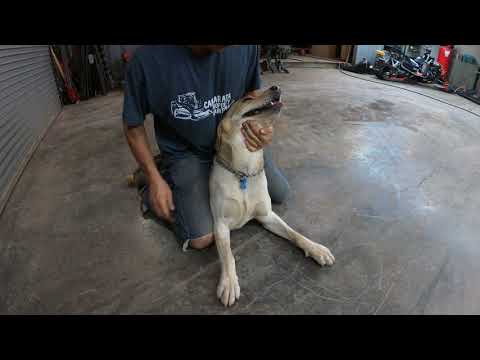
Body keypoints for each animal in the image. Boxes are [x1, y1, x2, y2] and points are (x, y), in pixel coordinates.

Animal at [212, 85, 336, 306]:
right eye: (246, 98)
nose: (275, 87)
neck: (243, 172)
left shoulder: (267, 216)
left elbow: (295, 233)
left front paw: (316, 249)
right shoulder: (220, 225)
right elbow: (228, 255)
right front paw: (228, 283)